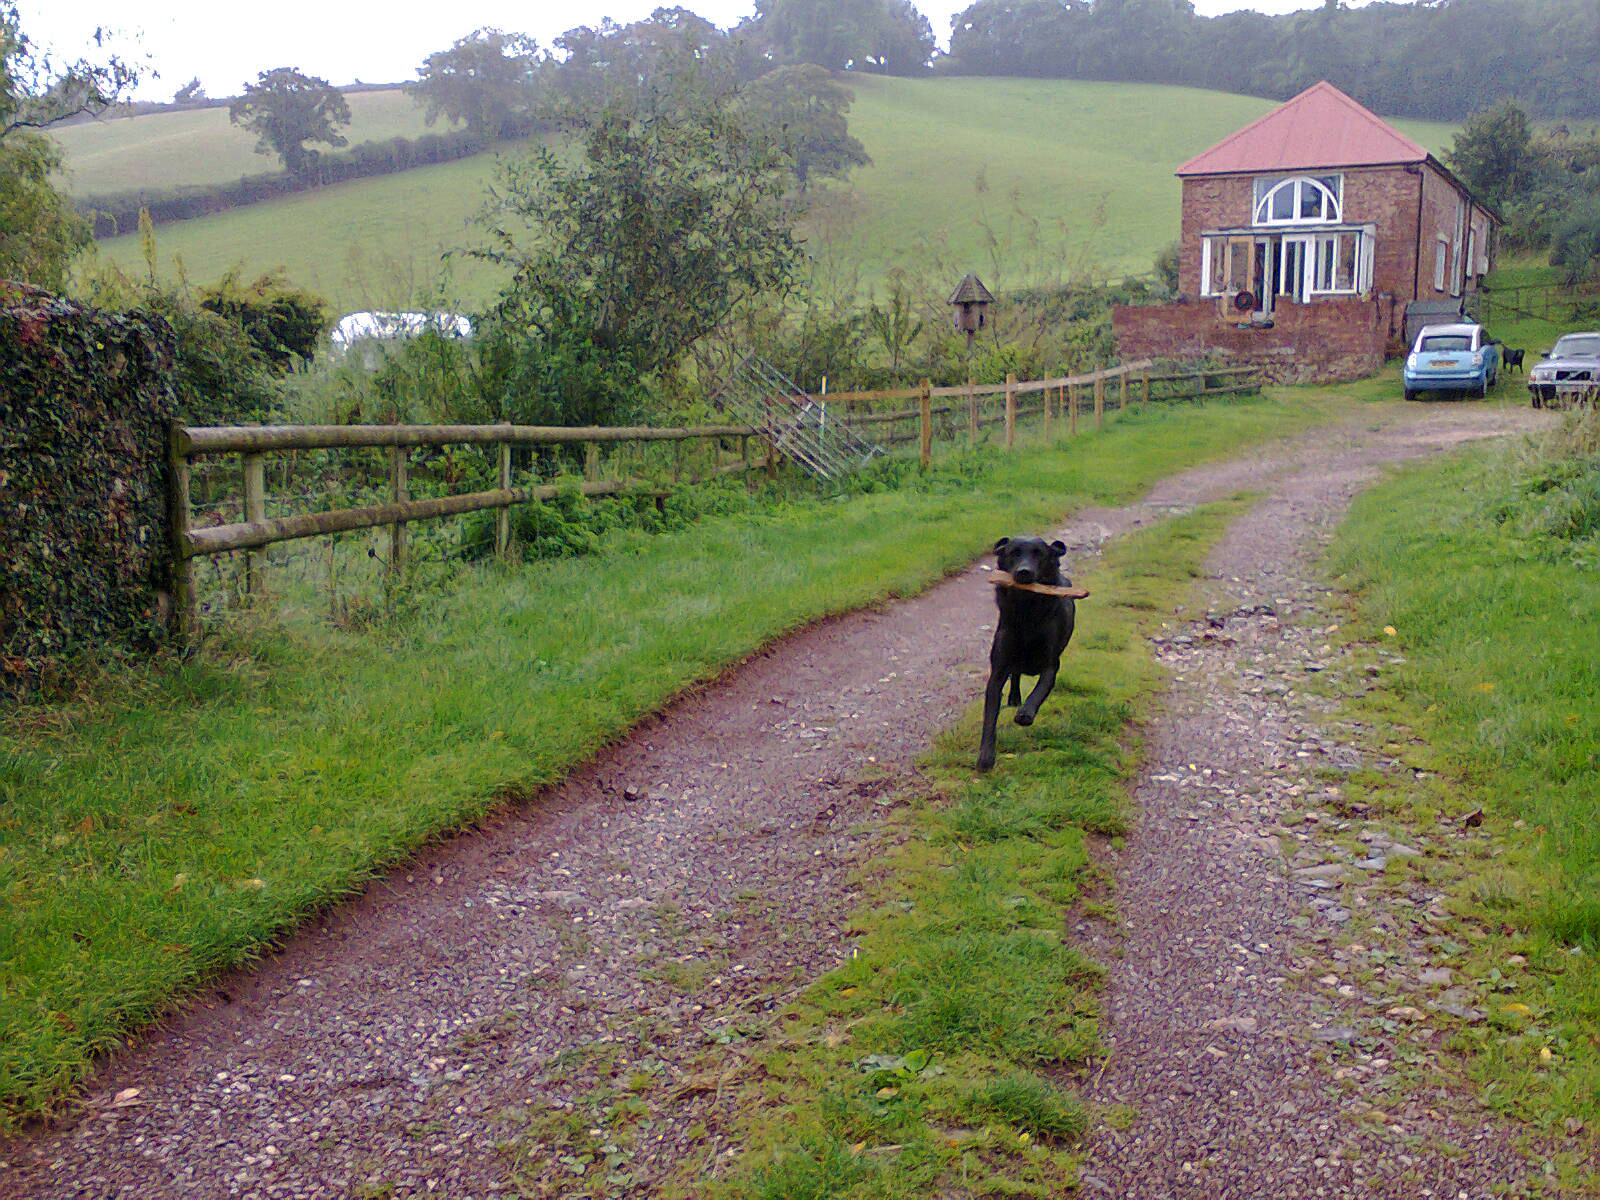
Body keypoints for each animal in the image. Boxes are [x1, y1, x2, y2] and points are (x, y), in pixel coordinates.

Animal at [977, 536, 1076, 771]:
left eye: (1039, 554)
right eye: (1014, 552)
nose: (1024, 572)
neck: (1027, 613)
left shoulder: (1051, 665)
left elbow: (1038, 692)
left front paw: (1025, 714)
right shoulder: (998, 670)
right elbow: (990, 716)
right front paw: (986, 756)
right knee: (1016, 674)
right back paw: (1014, 697)